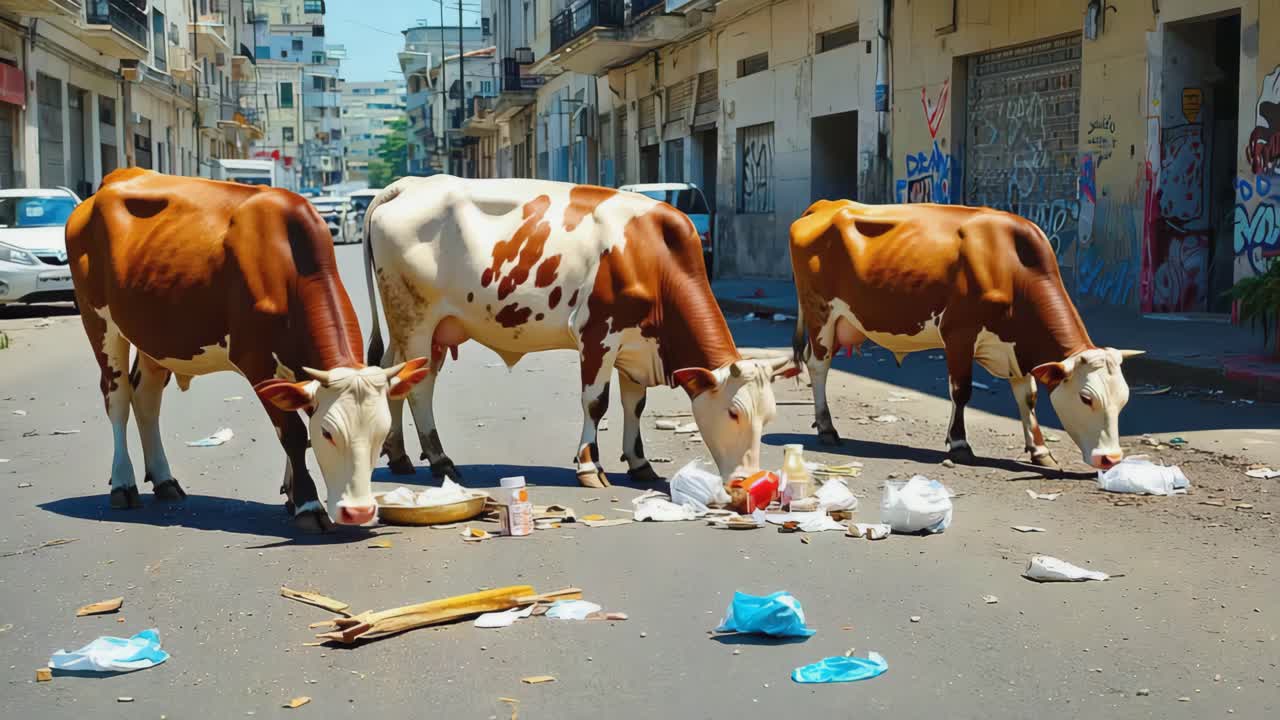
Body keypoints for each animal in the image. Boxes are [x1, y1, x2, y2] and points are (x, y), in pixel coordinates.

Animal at [66, 169, 430, 531]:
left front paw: (291, 495)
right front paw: (308, 504)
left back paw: (164, 480)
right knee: (117, 397)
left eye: (382, 434)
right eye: (328, 433)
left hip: (154, 333)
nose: (360, 512)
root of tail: (114, 179)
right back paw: (122, 484)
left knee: (146, 398)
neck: (289, 265)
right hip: (99, 321)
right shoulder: (256, 362)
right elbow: (293, 434)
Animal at [361, 175, 797, 487]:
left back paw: (399, 456)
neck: (652, 256)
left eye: (770, 416)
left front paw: (639, 463)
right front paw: (589, 466)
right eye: (733, 412)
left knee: (396, 375)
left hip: (415, 325)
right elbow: (595, 403)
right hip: (417, 318)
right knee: (420, 387)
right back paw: (440, 461)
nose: (749, 480)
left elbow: (634, 404)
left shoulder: (635, 342)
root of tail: (410, 184)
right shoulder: (597, 334)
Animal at [789, 200, 1141, 471]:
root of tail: (826, 205)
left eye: (1124, 400)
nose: (1111, 459)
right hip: (821, 314)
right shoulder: (959, 333)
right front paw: (959, 444)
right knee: (818, 366)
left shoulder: (1016, 347)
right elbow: (961, 391)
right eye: (1086, 398)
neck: (1012, 268)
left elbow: (1027, 396)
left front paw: (1040, 450)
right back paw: (827, 428)